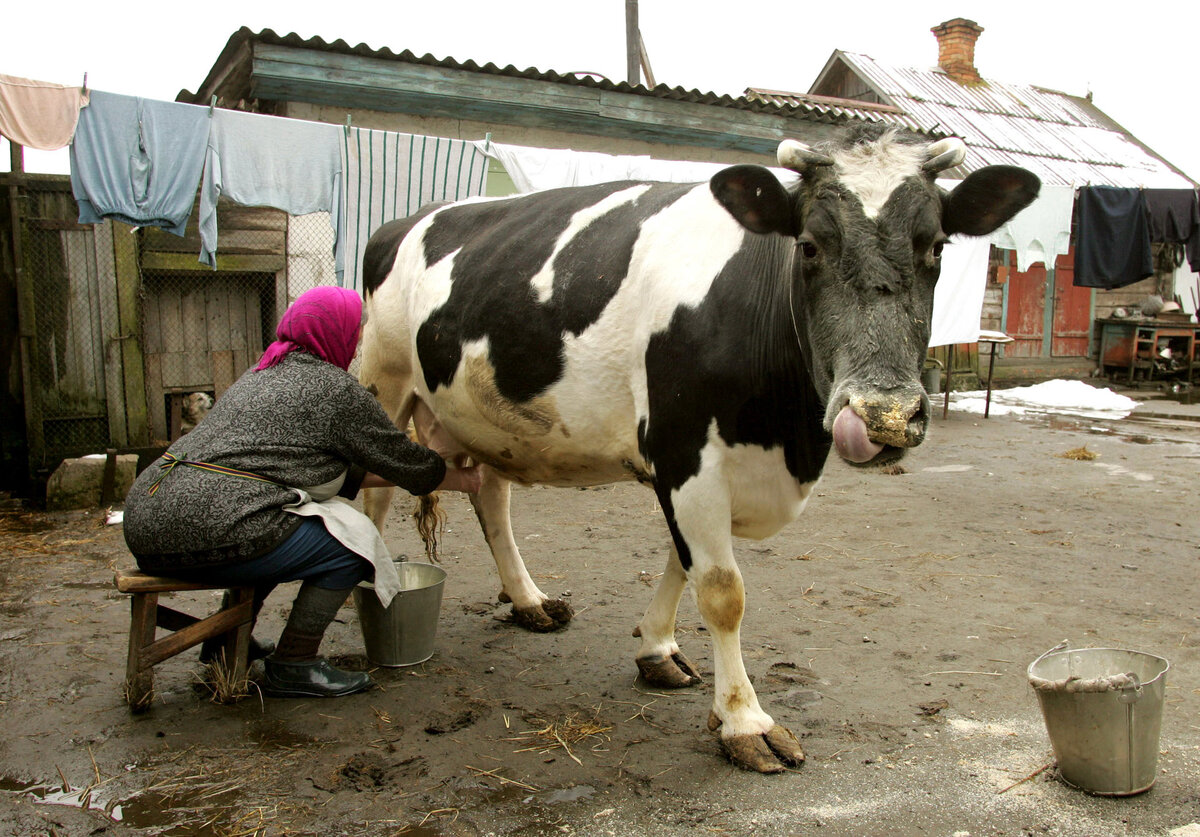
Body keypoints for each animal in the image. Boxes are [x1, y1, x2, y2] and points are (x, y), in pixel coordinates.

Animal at [355, 124, 1041, 767]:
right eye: (809, 245)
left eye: (937, 245)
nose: (885, 414)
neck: (783, 439)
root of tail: (408, 218)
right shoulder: (686, 451)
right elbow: (720, 589)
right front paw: (745, 722)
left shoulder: (699, 466)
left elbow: (681, 562)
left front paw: (656, 650)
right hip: (383, 381)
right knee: (374, 496)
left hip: (486, 414)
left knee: (492, 496)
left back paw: (530, 601)